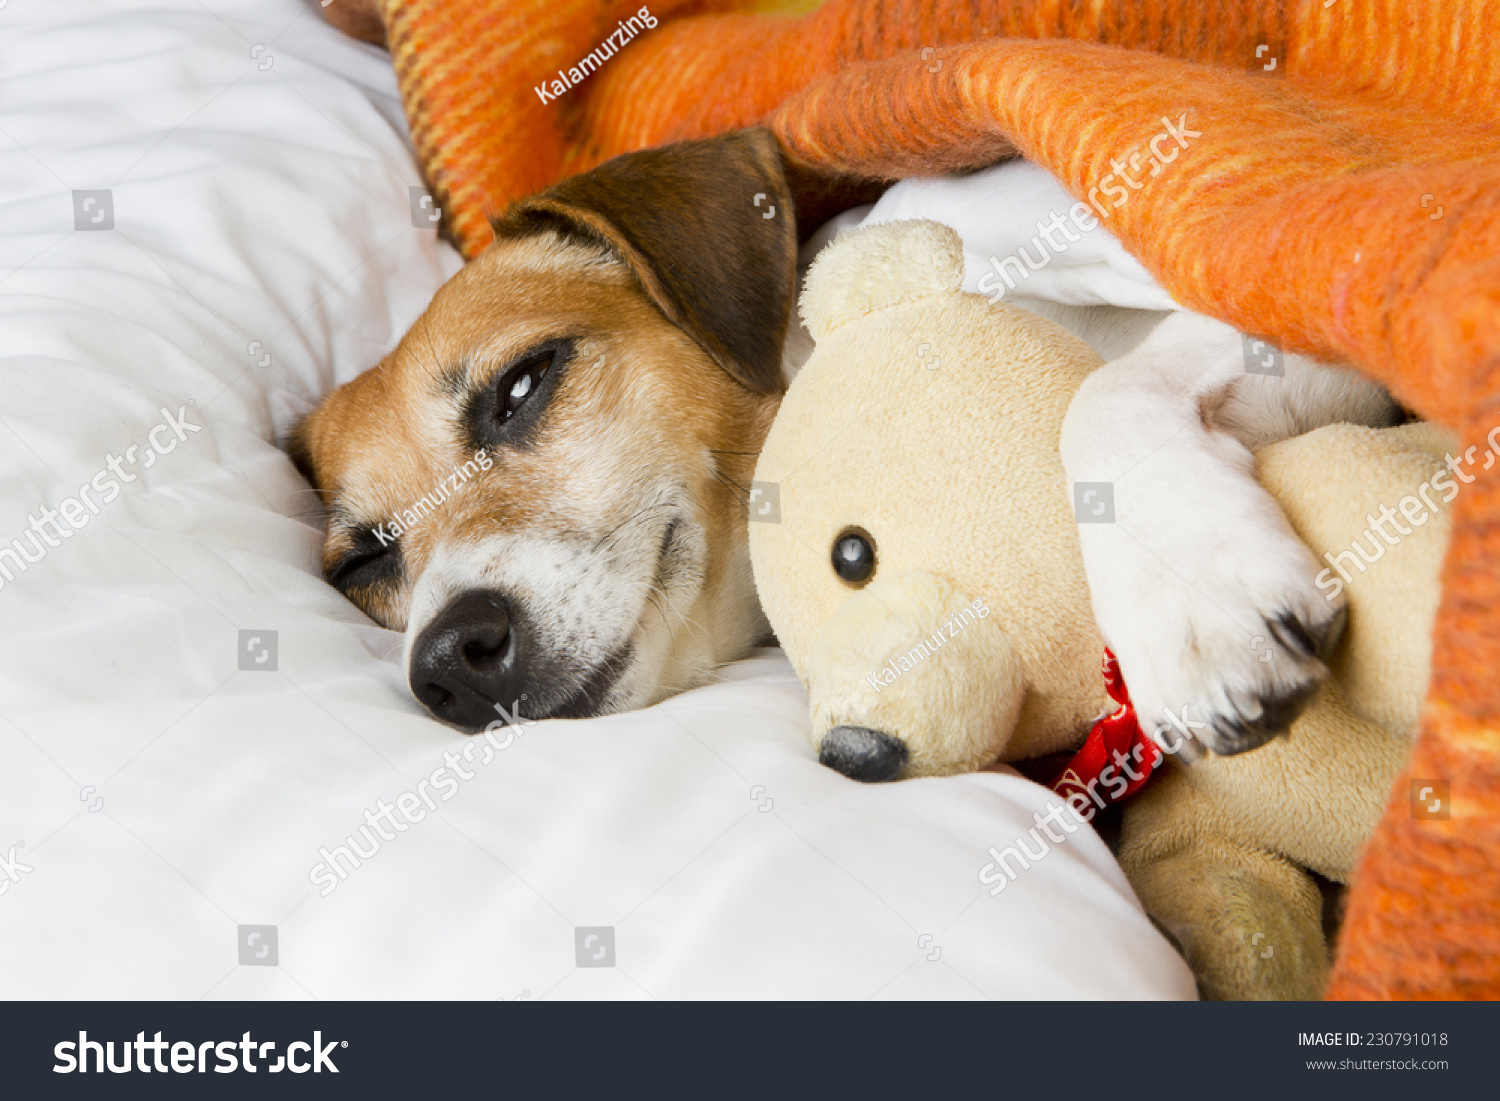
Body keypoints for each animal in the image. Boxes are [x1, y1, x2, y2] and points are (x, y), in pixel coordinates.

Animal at [292, 127, 1392, 768]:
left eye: (521, 386)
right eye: (364, 562)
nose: (449, 658)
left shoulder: (1307, 323)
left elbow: (1106, 395)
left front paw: (1196, 609)